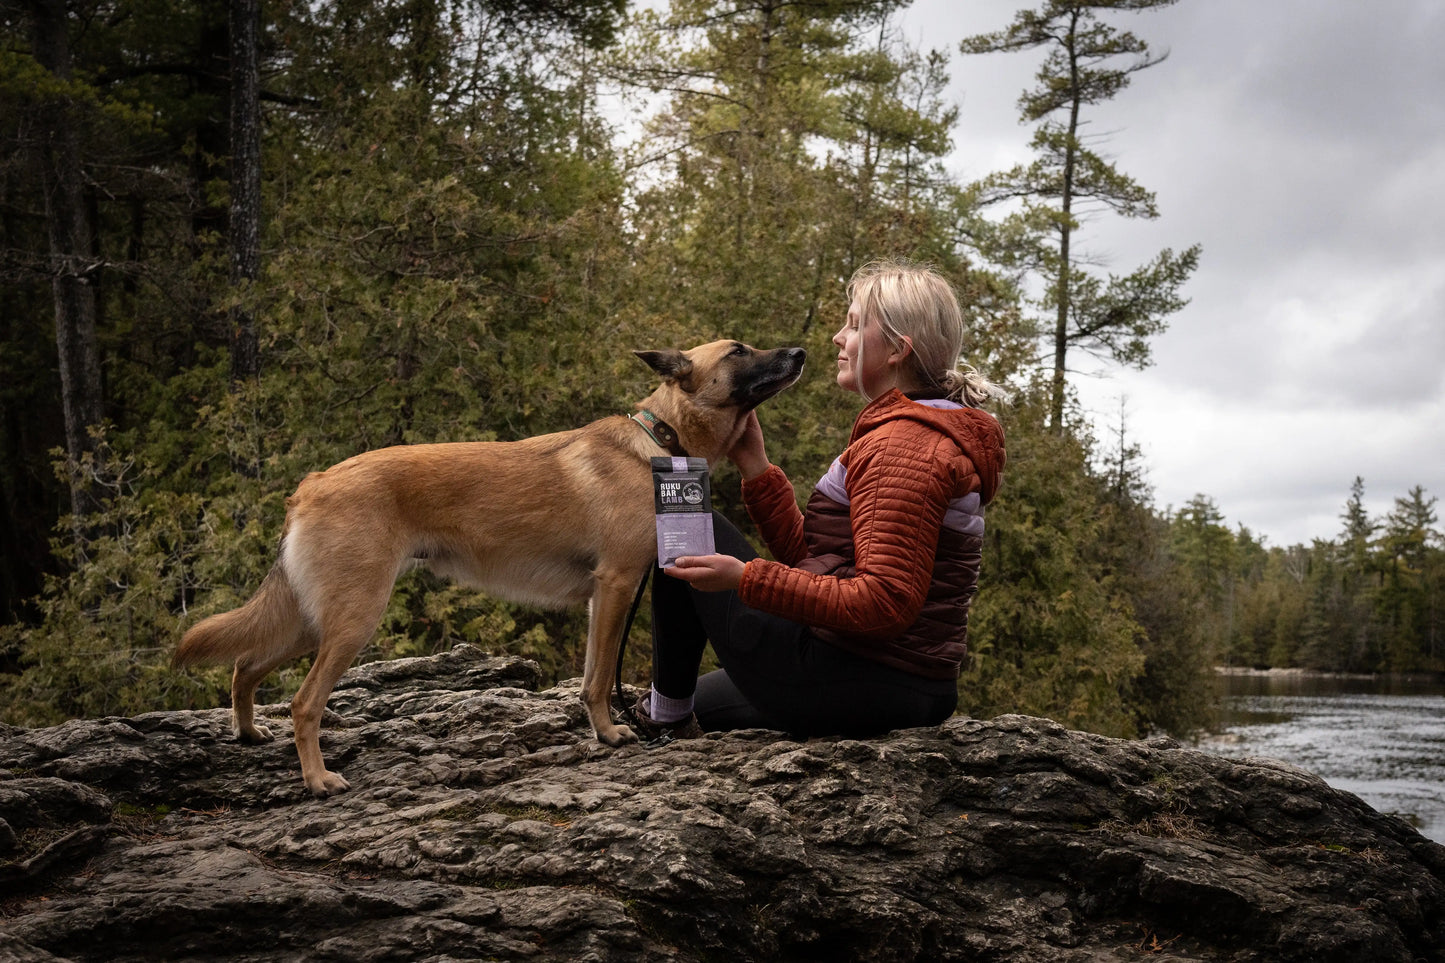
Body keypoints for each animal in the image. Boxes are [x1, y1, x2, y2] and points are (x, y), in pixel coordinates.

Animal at [174, 339, 809, 792]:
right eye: (738, 351)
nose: (801, 352)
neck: (662, 442)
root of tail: (312, 482)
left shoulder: (603, 597)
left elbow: (589, 676)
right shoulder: (616, 586)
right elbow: (601, 678)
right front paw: (609, 733)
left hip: (315, 619)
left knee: (246, 666)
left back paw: (248, 732)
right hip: (353, 620)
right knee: (303, 703)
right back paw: (317, 780)